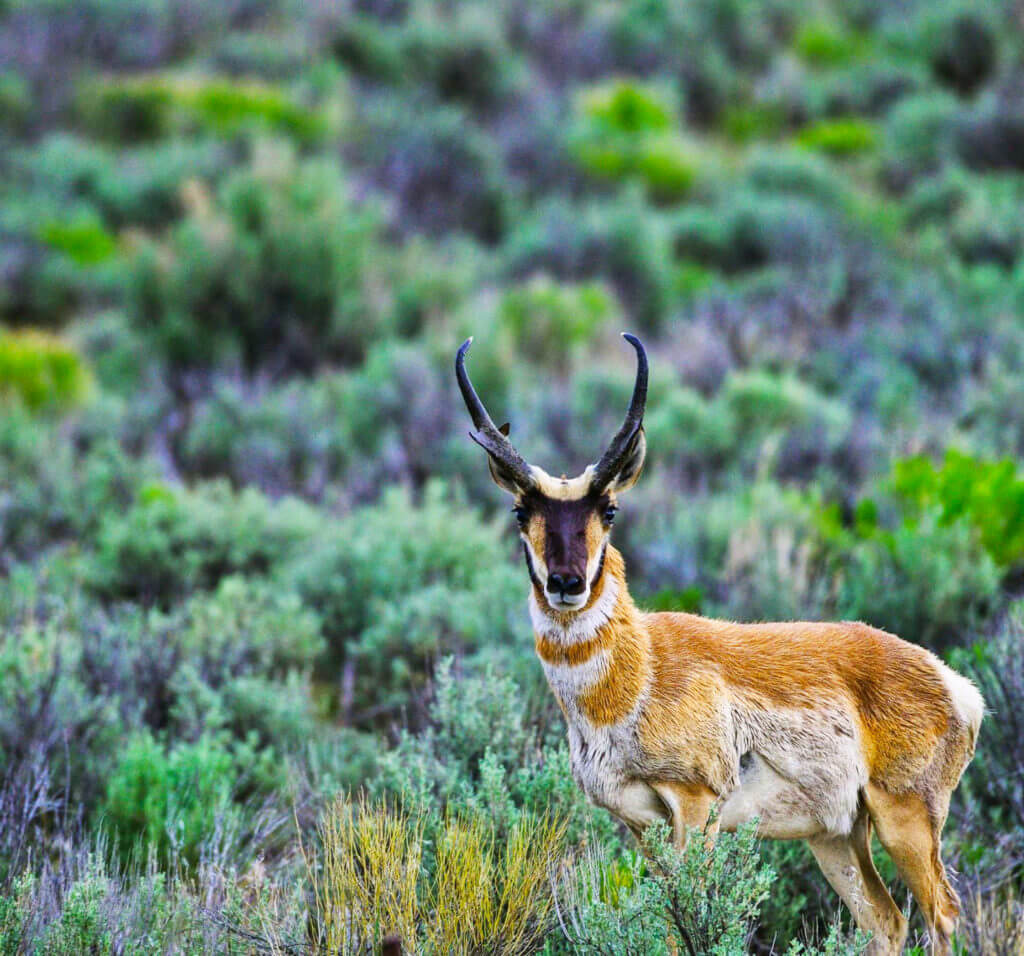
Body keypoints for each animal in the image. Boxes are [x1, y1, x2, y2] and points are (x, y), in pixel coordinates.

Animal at [456, 335, 983, 956]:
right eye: (521, 510)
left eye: (609, 508)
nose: (567, 582)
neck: (643, 671)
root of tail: (953, 684)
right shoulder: (643, 824)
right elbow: (662, 921)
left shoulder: (696, 806)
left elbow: (687, 926)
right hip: (835, 835)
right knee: (887, 921)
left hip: (906, 819)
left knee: (942, 914)